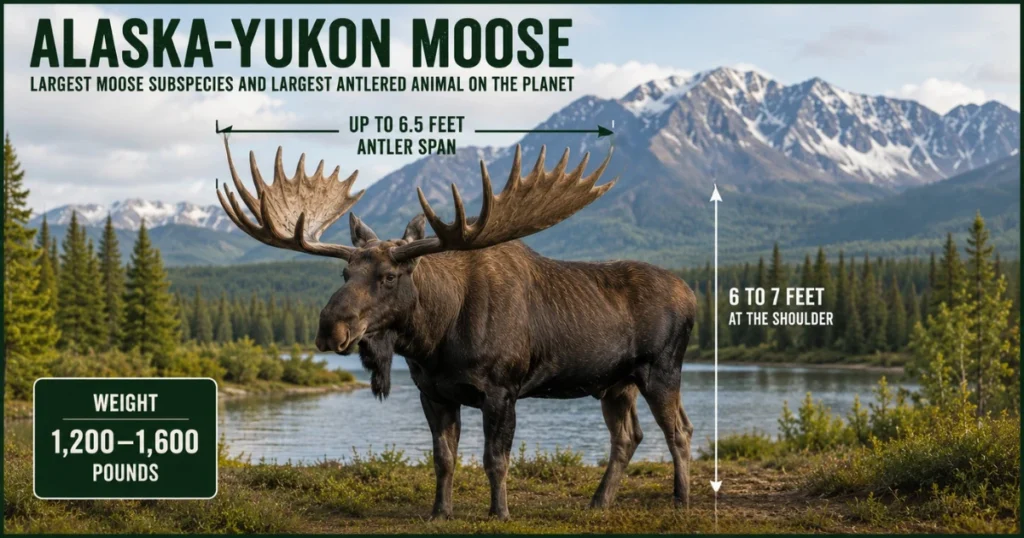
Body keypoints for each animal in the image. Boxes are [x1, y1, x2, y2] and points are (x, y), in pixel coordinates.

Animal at [217, 137, 698, 520]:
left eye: (389, 277)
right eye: (344, 273)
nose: (329, 329)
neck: (435, 338)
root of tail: (693, 295)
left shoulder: (502, 389)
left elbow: (494, 459)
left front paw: (499, 512)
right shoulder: (434, 392)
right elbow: (443, 458)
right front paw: (439, 511)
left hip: (661, 370)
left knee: (678, 431)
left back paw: (681, 499)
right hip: (616, 382)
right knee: (629, 437)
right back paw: (599, 502)